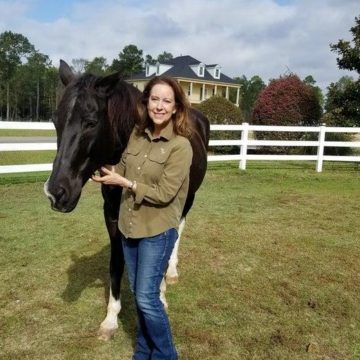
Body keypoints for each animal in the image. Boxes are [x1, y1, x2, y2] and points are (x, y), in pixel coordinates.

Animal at [44, 61, 210, 340]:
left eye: (91, 122)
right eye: (56, 121)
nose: (56, 192)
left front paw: (160, 295)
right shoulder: (112, 215)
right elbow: (116, 263)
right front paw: (111, 319)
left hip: (189, 198)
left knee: (178, 231)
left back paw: (172, 272)